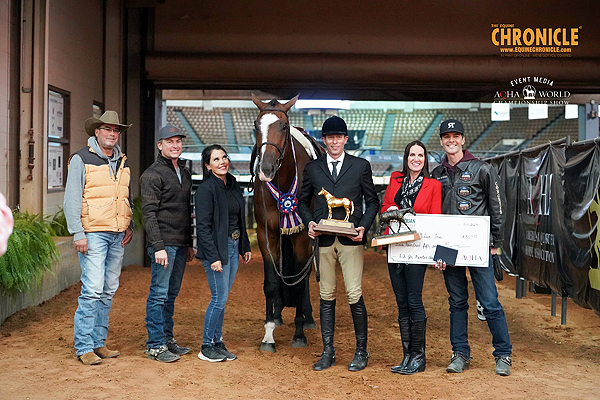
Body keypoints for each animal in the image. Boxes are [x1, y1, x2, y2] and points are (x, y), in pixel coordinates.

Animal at [250, 93, 322, 350]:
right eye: (256, 126)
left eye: (283, 126)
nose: (266, 168)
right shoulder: (266, 234)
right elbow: (271, 282)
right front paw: (268, 334)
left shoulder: (302, 236)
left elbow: (300, 283)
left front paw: (299, 334)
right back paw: (278, 315)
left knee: (306, 275)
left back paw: (307, 318)